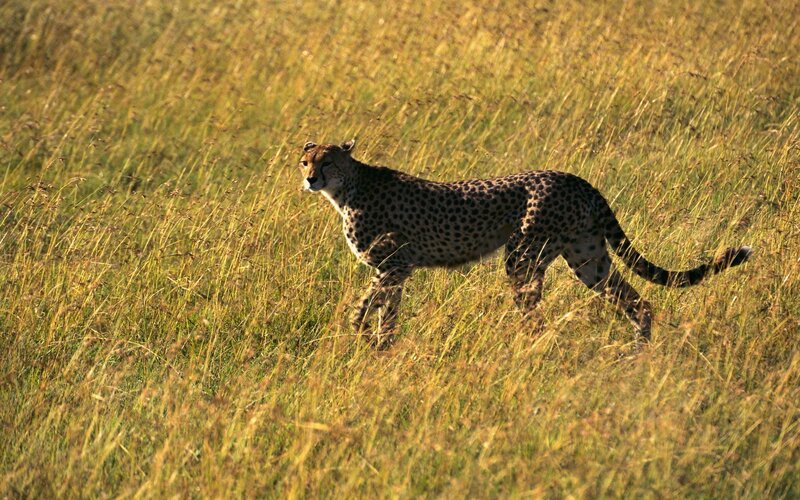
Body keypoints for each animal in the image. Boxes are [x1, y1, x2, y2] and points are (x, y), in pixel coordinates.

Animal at [298, 140, 752, 347]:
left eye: (328, 161)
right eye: (305, 160)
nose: (310, 179)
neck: (348, 188)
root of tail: (575, 178)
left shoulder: (397, 262)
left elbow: (368, 301)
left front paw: (360, 333)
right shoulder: (396, 269)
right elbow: (385, 310)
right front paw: (381, 345)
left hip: (524, 256)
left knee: (535, 316)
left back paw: (526, 350)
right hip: (587, 258)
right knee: (637, 301)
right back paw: (637, 351)